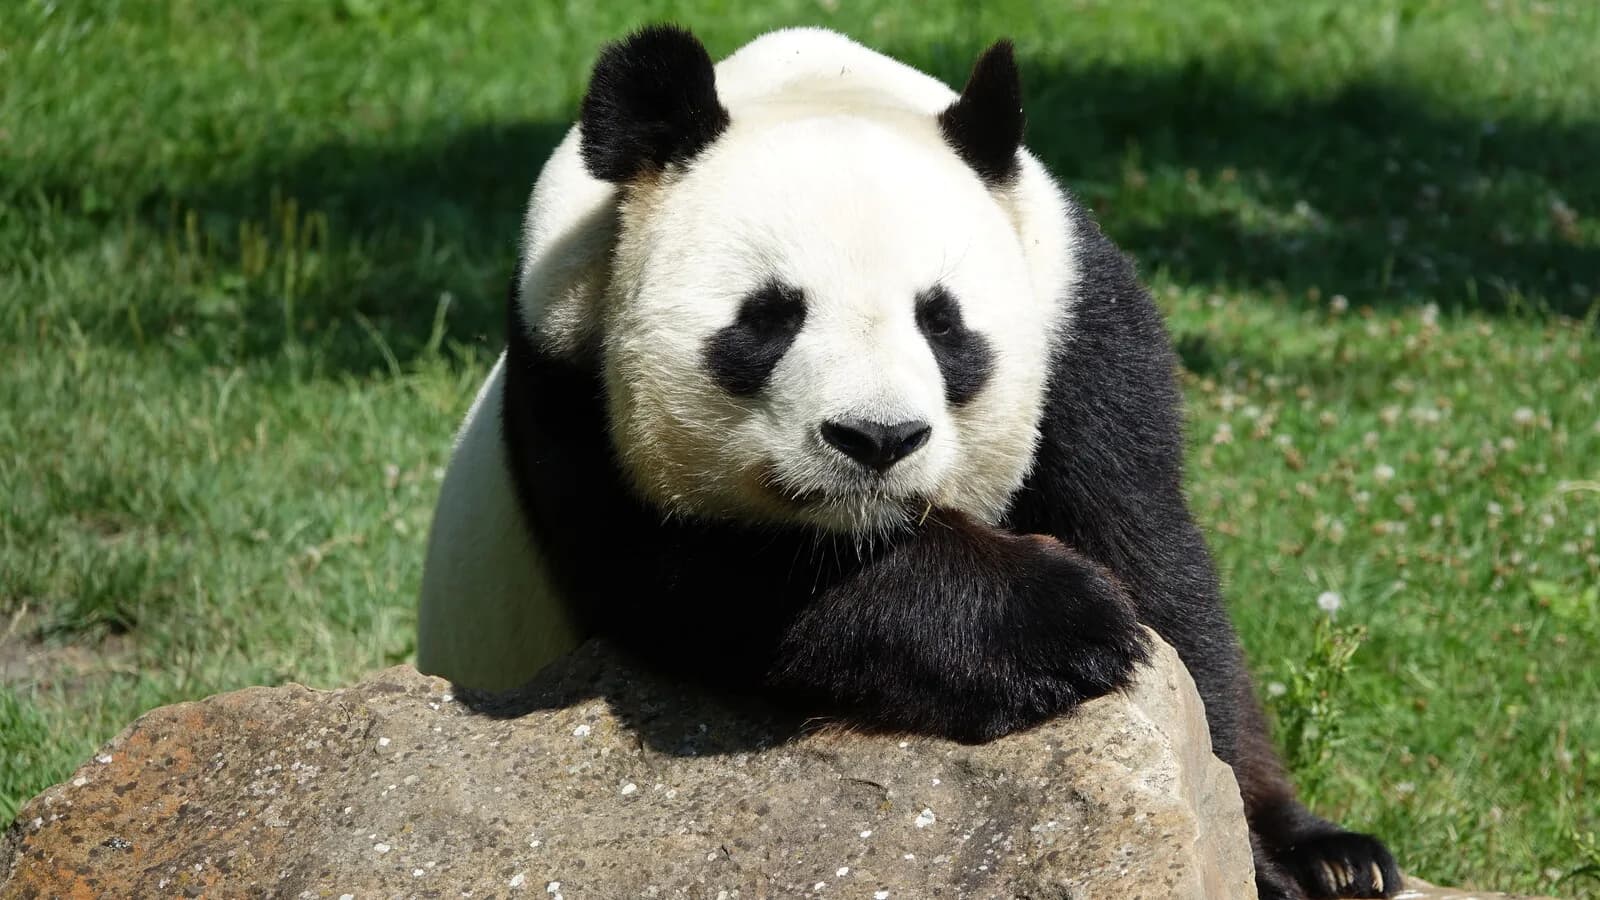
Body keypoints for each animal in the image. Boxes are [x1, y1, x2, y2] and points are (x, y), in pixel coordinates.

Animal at [418, 25, 1400, 900]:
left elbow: (1162, 571)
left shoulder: (1080, 327)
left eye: (943, 321)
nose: (877, 439)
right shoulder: (566, 381)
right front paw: (1061, 622)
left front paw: (1281, 852)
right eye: (769, 317)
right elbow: (709, 579)